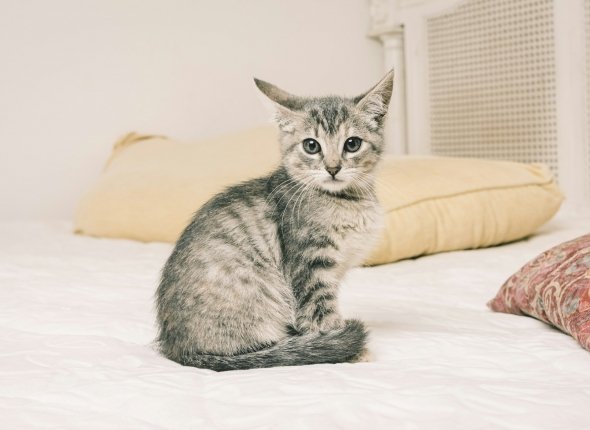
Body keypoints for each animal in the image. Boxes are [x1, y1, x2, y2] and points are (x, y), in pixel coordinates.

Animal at [155, 70, 394, 371]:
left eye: (352, 144)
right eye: (311, 146)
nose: (333, 168)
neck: (346, 201)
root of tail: (179, 350)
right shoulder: (310, 268)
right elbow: (320, 314)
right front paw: (349, 349)